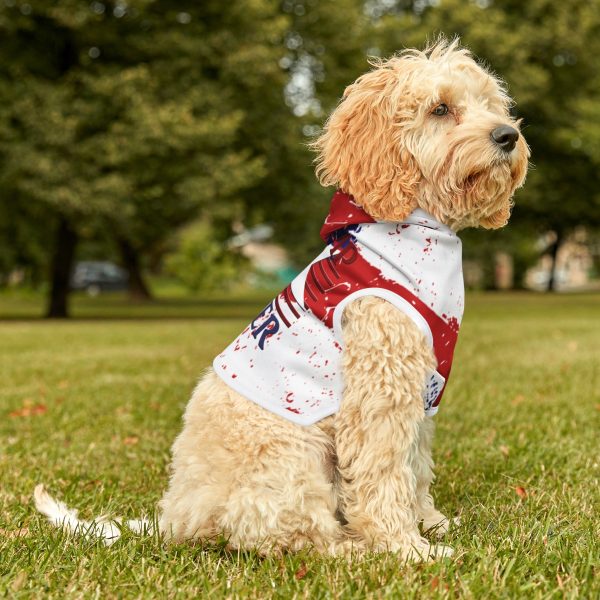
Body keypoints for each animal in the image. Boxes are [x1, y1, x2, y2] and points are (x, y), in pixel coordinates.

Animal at [35, 39, 528, 560]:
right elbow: (384, 472)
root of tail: (175, 518)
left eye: (490, 104)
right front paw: (406, 548)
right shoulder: (380, 389)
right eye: (440, 109)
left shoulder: (422, 388)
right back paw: (353, 548)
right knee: (289, 536)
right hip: (292, 457)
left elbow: (415, 466)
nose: (508, 135)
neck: (417, 227)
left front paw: (431, 524)